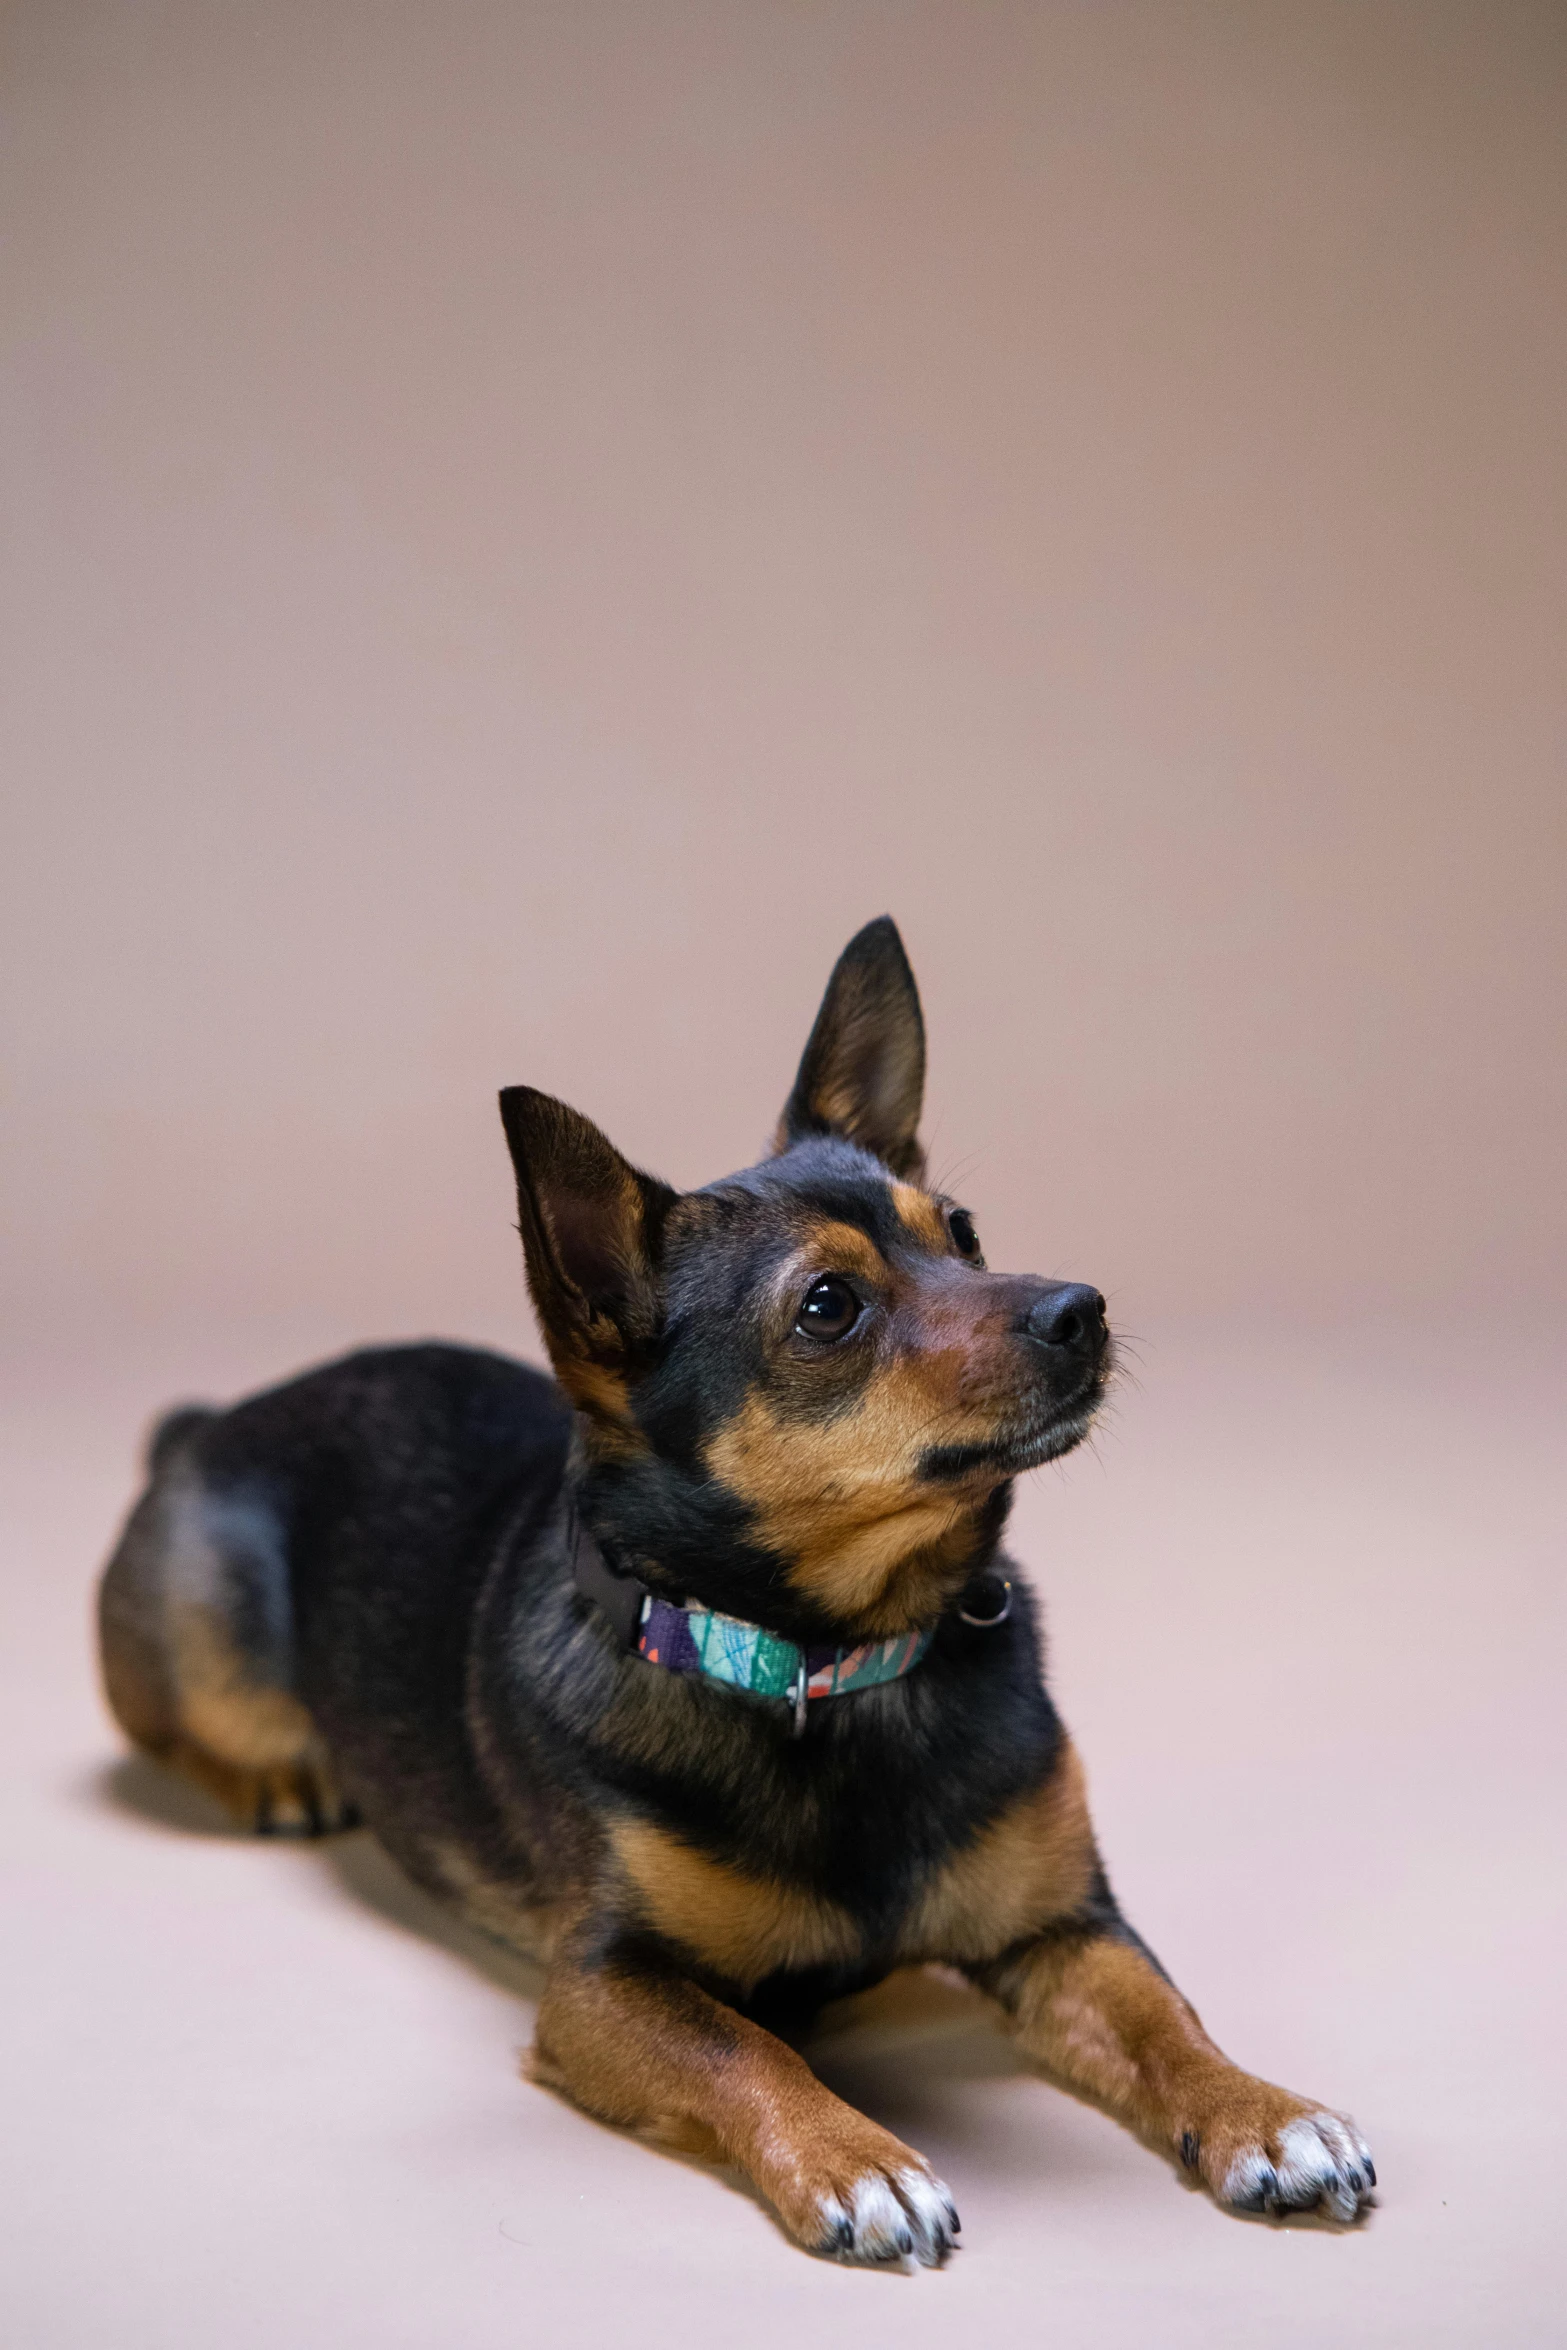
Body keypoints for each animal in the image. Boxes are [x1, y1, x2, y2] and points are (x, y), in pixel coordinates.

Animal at [98, 911, 1372, 2256]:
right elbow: (745, 2046)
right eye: (828, 1306)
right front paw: (855, 2157)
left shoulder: (1063, 1927)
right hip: (203, 1636)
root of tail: (216, 1417)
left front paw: (1264, 2111)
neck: (834, 1658)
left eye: (963, 1230)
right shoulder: (603, 1986)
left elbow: (1164, 2015)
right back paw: (281, 1776)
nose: (1082, 1307)